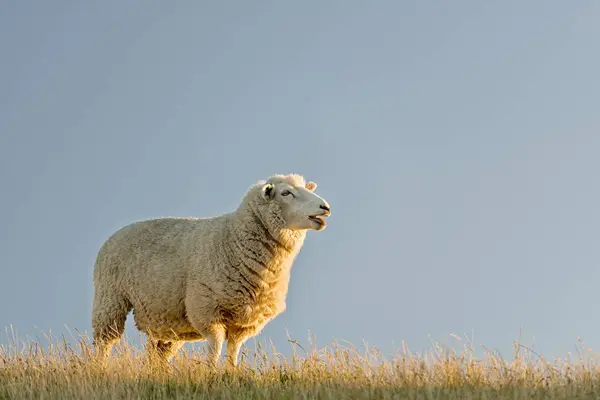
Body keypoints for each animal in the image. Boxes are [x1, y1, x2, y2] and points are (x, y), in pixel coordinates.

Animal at [91, 173, 330, 368]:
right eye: (286, 193)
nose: (325, 207)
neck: (233, 240)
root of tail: (116, 233)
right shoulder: (206, 309)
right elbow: (215, 348)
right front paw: (211, 374)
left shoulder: (244, 323)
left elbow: (233, 351)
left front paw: (231, 375)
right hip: (110, 299)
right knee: (104, 342)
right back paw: (100, 370)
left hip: (164, 318)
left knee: (157, 354)